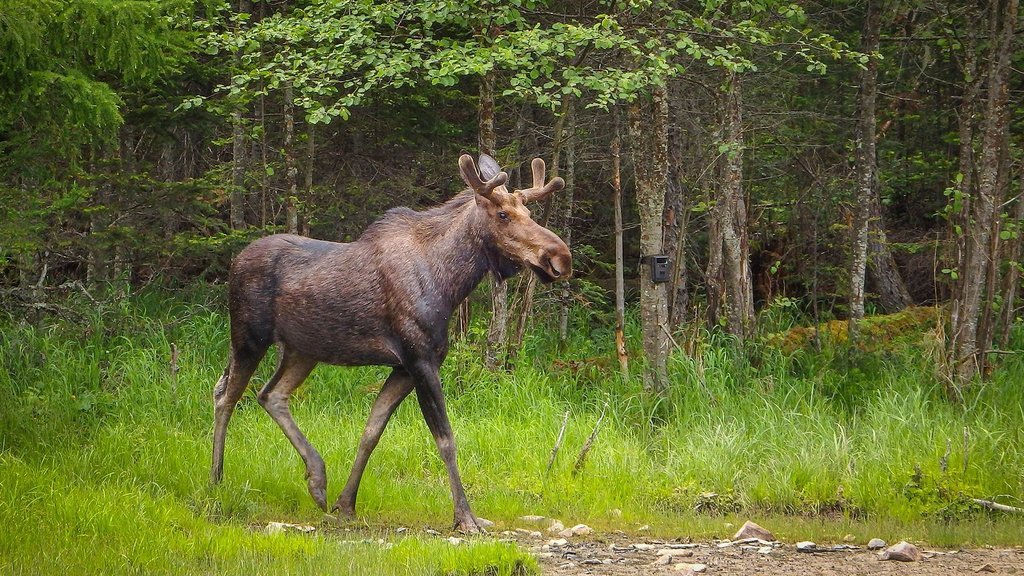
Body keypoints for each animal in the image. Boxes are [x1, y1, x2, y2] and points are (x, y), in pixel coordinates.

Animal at [210, 151, 573, 528]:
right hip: (249, 336)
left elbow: (371, 432)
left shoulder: (403, 367)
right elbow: (446, 439)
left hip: (301, 350)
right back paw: (217, 480)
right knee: (226, 395)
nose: (560, 257)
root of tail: (235, 262)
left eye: (529, 214)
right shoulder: (420, 359)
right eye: (503, 214)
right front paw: (465, 517)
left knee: (270, 394)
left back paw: (317, 479)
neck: (451, 283)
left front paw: (346, 504)